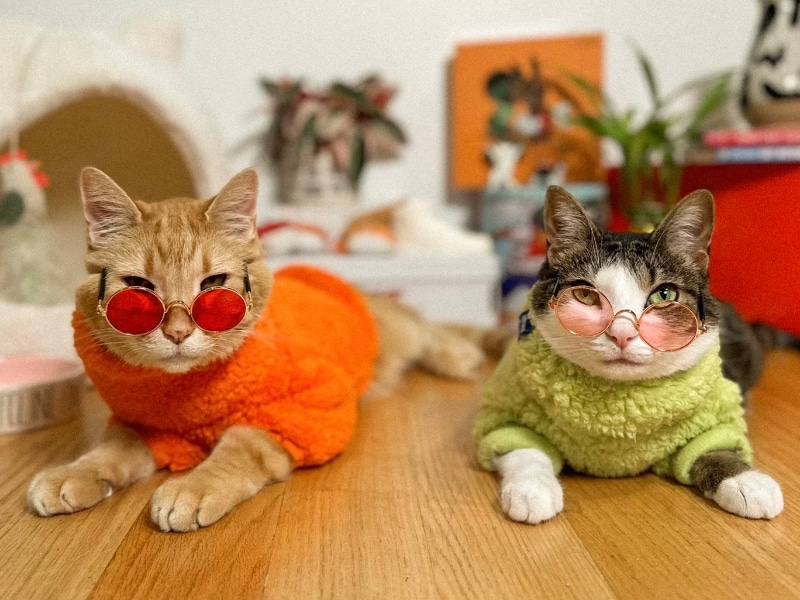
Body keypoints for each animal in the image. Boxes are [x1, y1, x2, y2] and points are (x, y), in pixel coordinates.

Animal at [26, 166, 488, 532]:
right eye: (138, 289)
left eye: (214, 285)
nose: (177, 333)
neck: (187, 397)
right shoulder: (146, 427)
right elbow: (112, 449)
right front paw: (74, 472)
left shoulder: (305, 413)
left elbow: (241, 445)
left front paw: (194, 486)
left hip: (397, 332)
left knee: (428, 330)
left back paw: (458, 354)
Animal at [476, 185, 780, 524]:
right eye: (585, 295)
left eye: (664, 295)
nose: (621, 333)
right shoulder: (507, 413)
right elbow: (524, 448)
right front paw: (532, 490)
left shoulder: (710, 418)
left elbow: (716, 446)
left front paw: (748, 482)